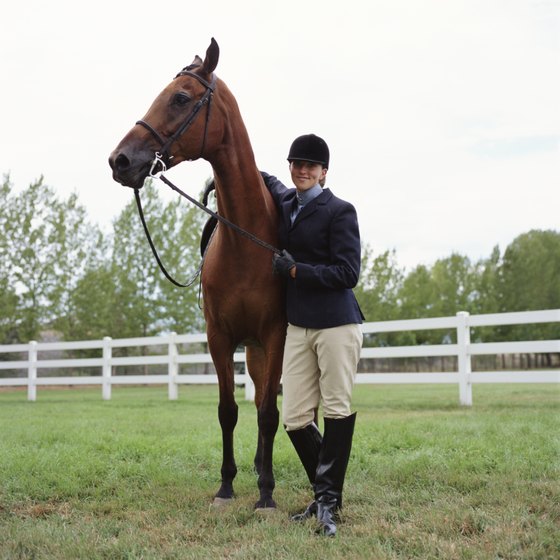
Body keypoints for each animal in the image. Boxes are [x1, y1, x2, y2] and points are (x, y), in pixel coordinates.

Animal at [109, 38, 286, 512]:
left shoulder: (275, 334)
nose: (120, 160)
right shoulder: (219, 337)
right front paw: (226, 487)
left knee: (272, 404)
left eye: (181, 98)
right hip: (252, 350)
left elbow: (268, 412)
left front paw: (265, 495)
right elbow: (229, 411)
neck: (247, 240)